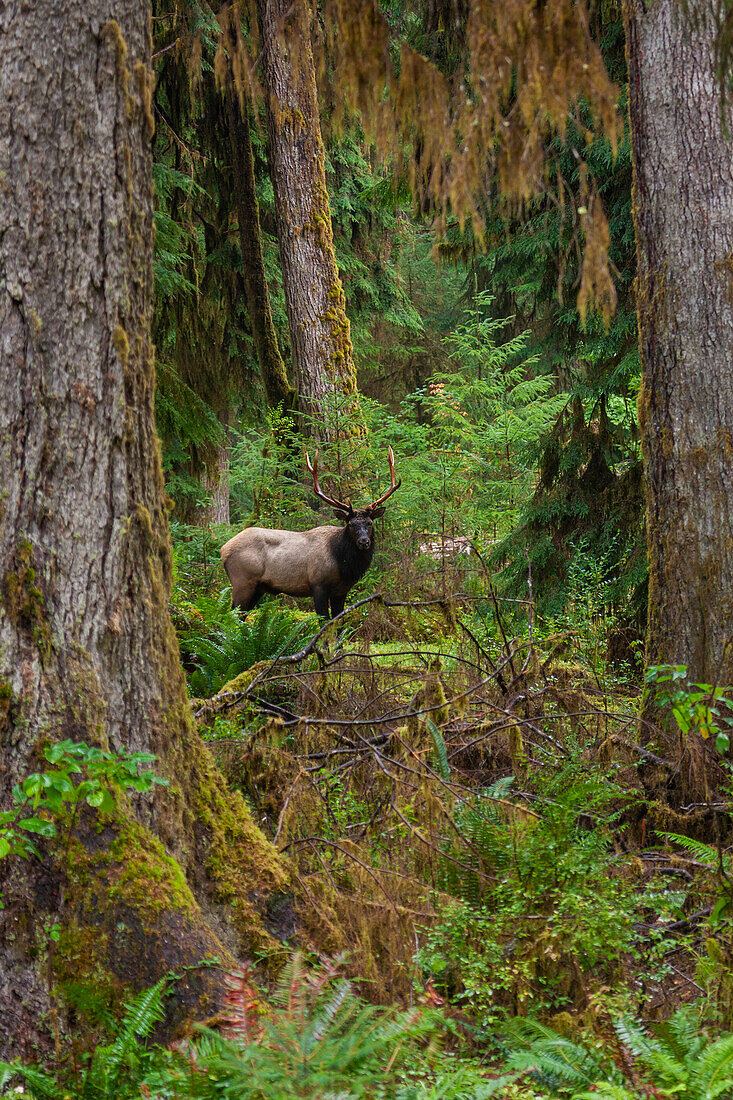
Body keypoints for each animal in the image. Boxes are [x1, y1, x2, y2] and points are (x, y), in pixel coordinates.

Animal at [220, 446, 400, 620]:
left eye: (370, 523)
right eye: (350, 524)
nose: (364, 541)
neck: (342, 564)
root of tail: (223, 550)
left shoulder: (341, 591)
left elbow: (338, 622)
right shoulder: (317, 584)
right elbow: (324, 621)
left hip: (257, 588)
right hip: (242, 582)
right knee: (231, 617)